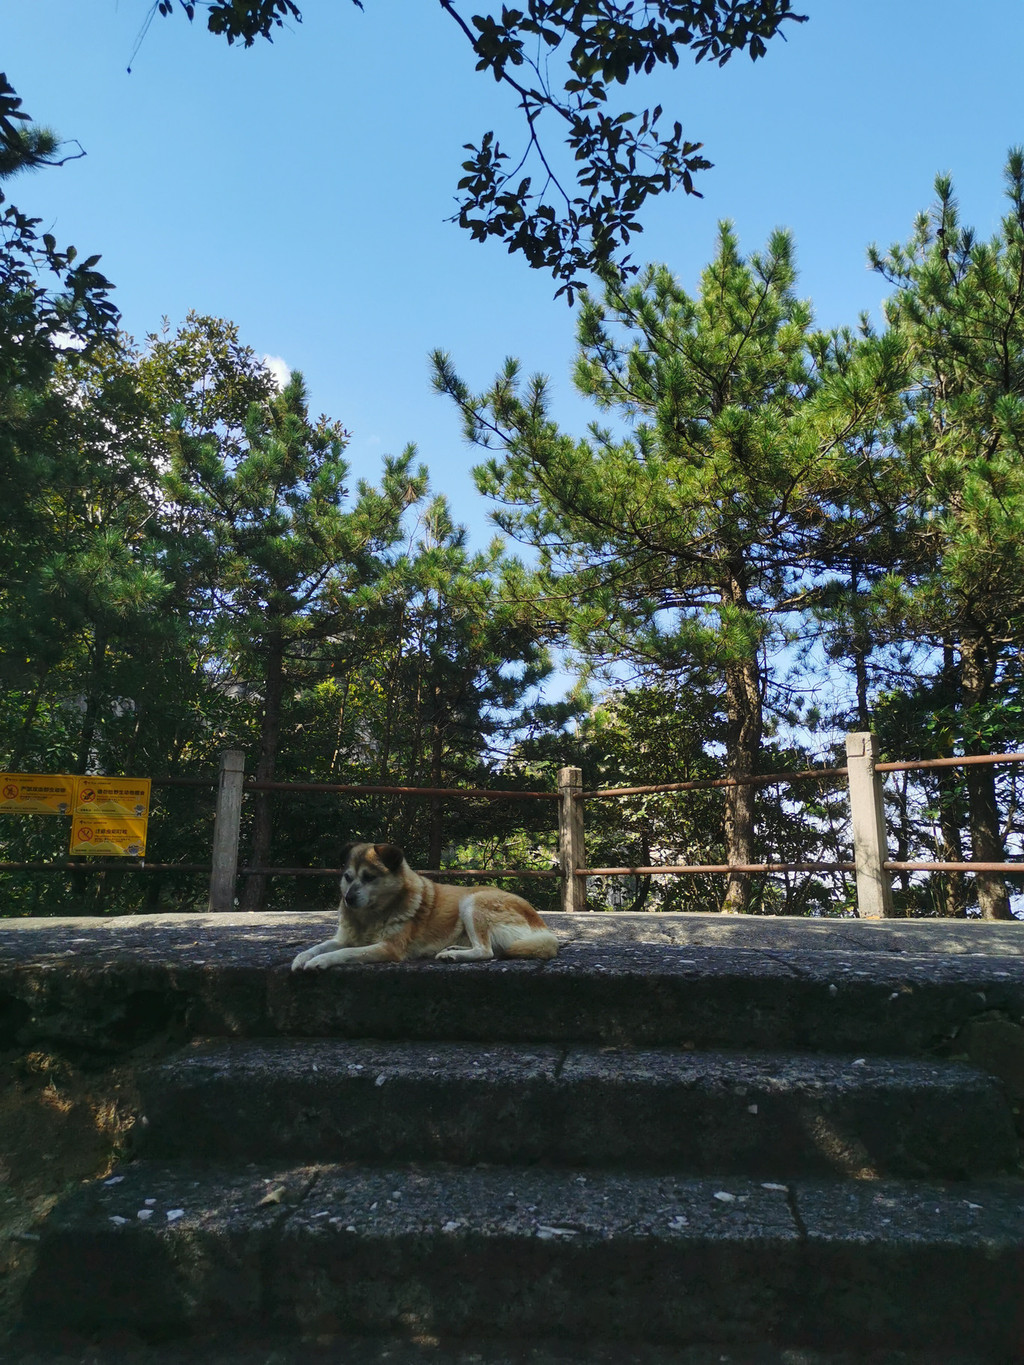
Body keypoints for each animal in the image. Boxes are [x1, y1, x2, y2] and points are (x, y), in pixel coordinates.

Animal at [290, 842, 559, 969]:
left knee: (486, 951)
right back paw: (453, 949)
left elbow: (346, 953)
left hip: (472, 901)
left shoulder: (389, 948)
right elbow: (320, 946)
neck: (369, 917)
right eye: (347, 877)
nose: (348, 899)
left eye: (369, 877)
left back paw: (453, 956)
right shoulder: (345, 937)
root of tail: (540, 924)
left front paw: (319, 962)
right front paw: (301, 958)